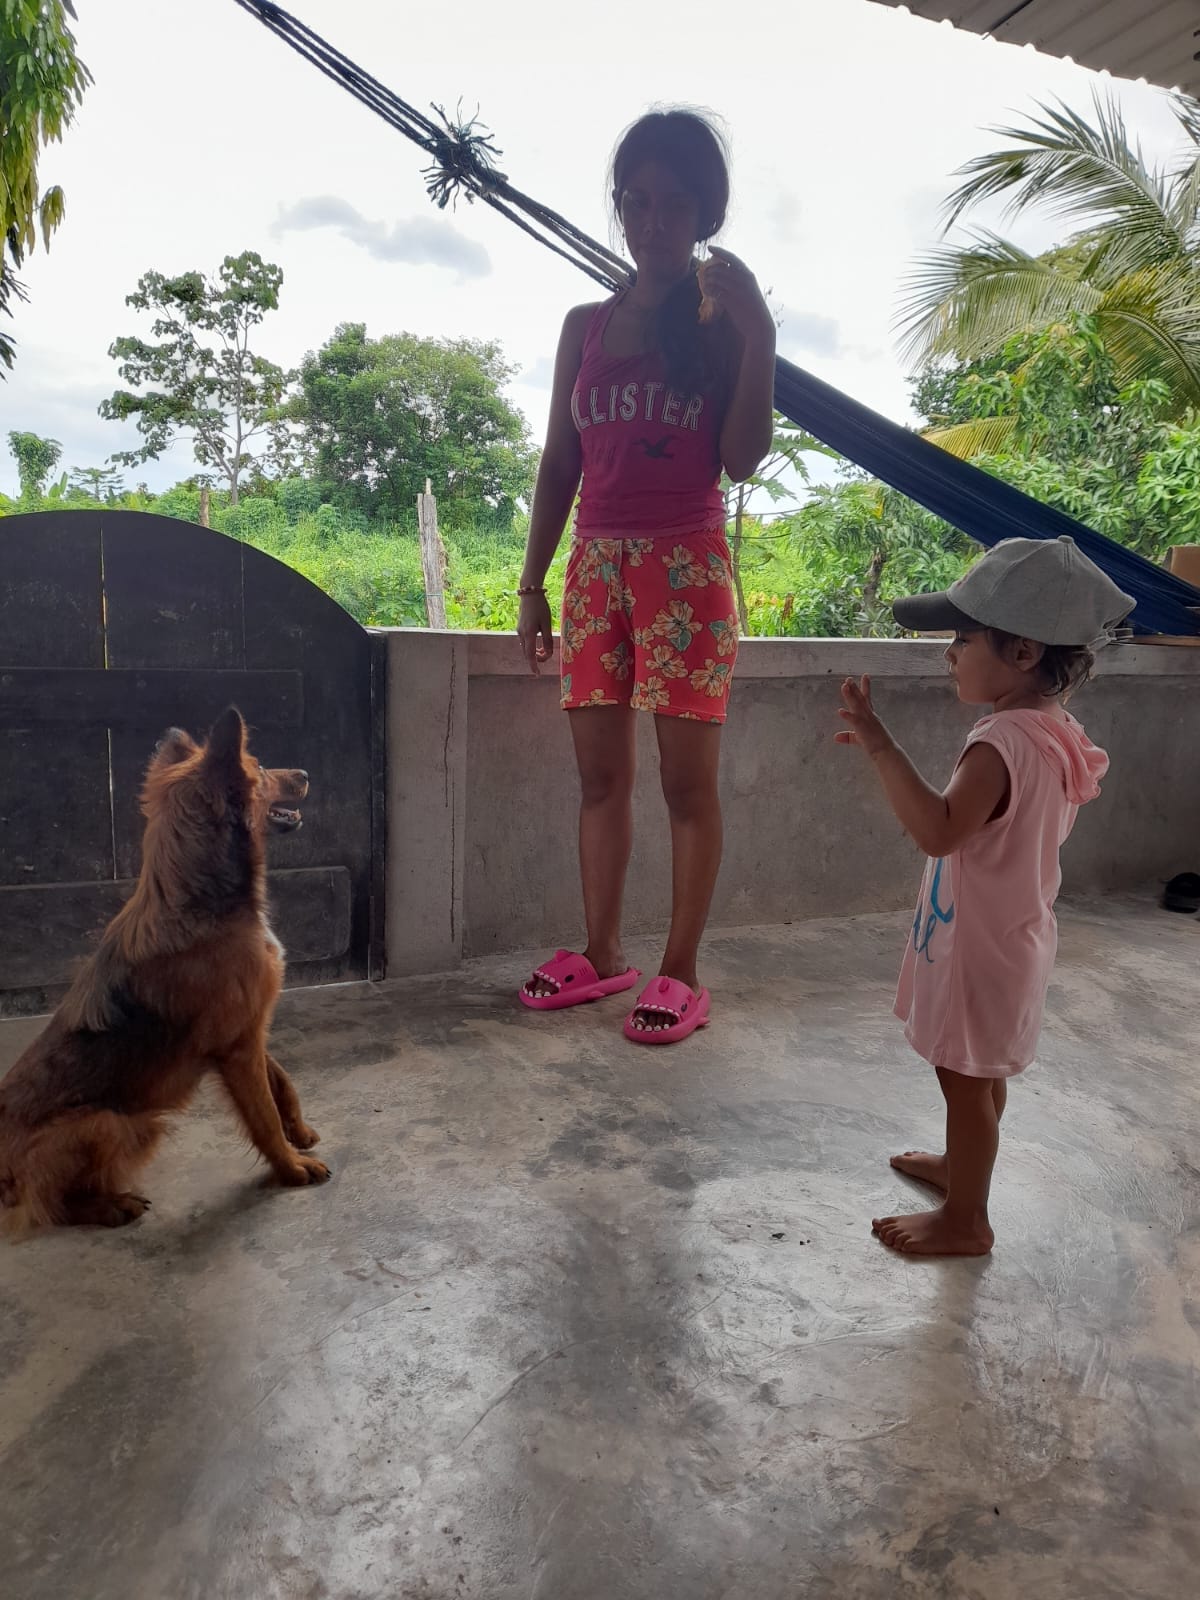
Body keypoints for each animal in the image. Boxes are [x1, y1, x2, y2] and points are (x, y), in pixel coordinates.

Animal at [0, 707, 330, 1231]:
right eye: (258, 768)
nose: (304, 774)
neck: (199, 898)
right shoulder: (236, 1047)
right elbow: (262, 1113)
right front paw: (291, 1167)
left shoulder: (249, 1028)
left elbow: (280, 1079)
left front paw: (298, 1130)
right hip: (115, 1124)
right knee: (50, 1205)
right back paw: (111, 1205)